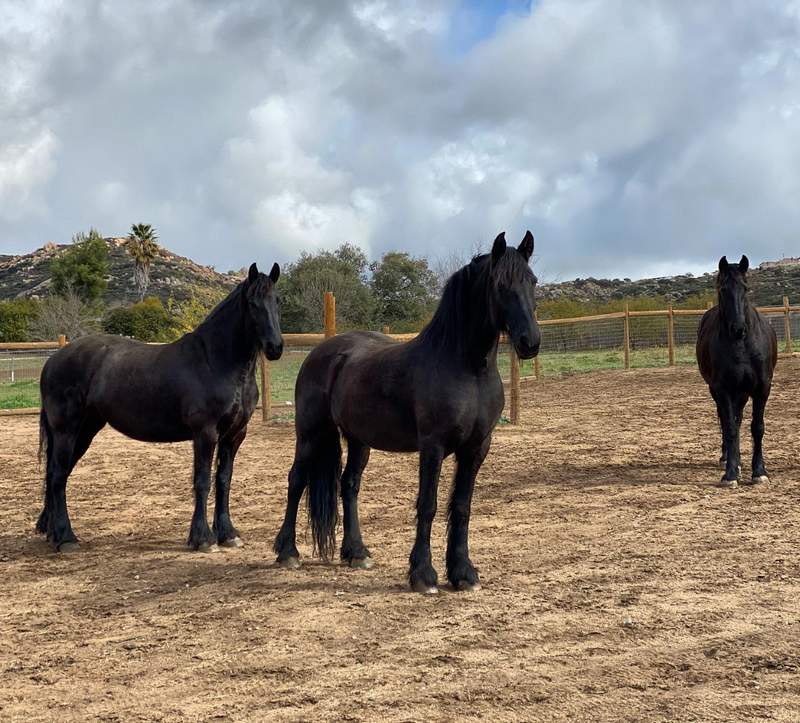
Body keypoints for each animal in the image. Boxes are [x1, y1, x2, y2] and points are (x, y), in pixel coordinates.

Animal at [36, 264, 284, 552]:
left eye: (276, 300)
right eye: (253, 303)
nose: (275, 347)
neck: (216, 362)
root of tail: (53, 359)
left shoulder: (234, 435)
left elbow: (224, 480)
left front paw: (228, 534)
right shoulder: (205, 433)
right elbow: (202, 482)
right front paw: (203, 539)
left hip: (85, 430)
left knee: (56, 474)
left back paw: (52, 532)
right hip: (66, 431)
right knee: (57, 476)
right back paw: (66, 538)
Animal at [272, 232, 540, 592]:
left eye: (532, 281)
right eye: (500, 284)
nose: (530, 342)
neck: (467, 368)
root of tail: (321, 352)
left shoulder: (477, 447)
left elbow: (462, 506)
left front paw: (463, 572)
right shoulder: (433, 446)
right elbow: (428, 505)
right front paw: (423, 574)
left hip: (358, 440)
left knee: (349, 484)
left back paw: (357, 552)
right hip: (310, 433)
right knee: (296, 480)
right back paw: (288, 552)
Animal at [696, 258, 780, 490]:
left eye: (745, 288)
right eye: (723, 289)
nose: (738, 328)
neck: (742, 345)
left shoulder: (762, 388)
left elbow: (757, 427)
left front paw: (759, 472)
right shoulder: (722, 389)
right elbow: (730, 428)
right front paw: (731, 473)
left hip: (742, 393)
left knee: (739, 418)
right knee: (728, 423)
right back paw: (730, 459)